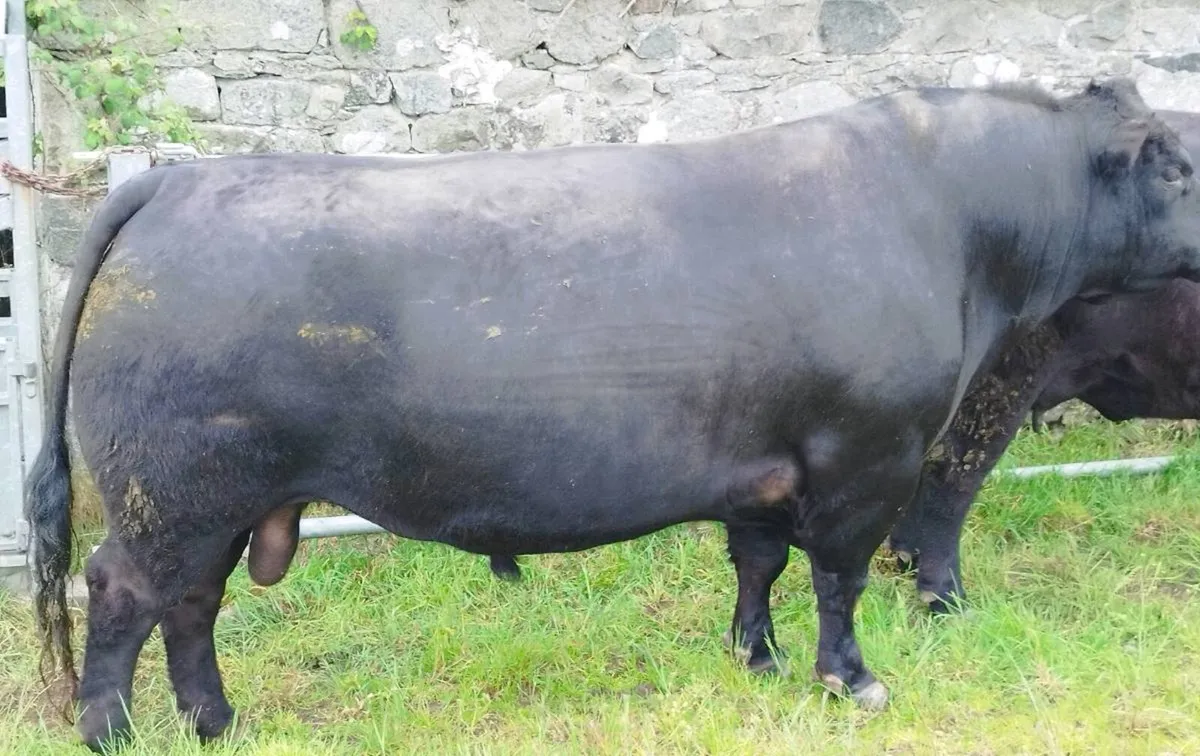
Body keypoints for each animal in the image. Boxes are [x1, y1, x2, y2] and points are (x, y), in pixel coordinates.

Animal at [24, 79, 1200, 752]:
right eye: (1181, 168)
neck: (949, 218)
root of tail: (175, 185)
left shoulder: (765, 466)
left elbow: (756, 563)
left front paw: (756, 660)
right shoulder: (867, 457)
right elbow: (840, 576)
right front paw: (851, 680)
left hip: (218, 503)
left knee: (192, 608)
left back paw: (217, 726)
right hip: (172, 492)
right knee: (125, 595)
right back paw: (113, 736)